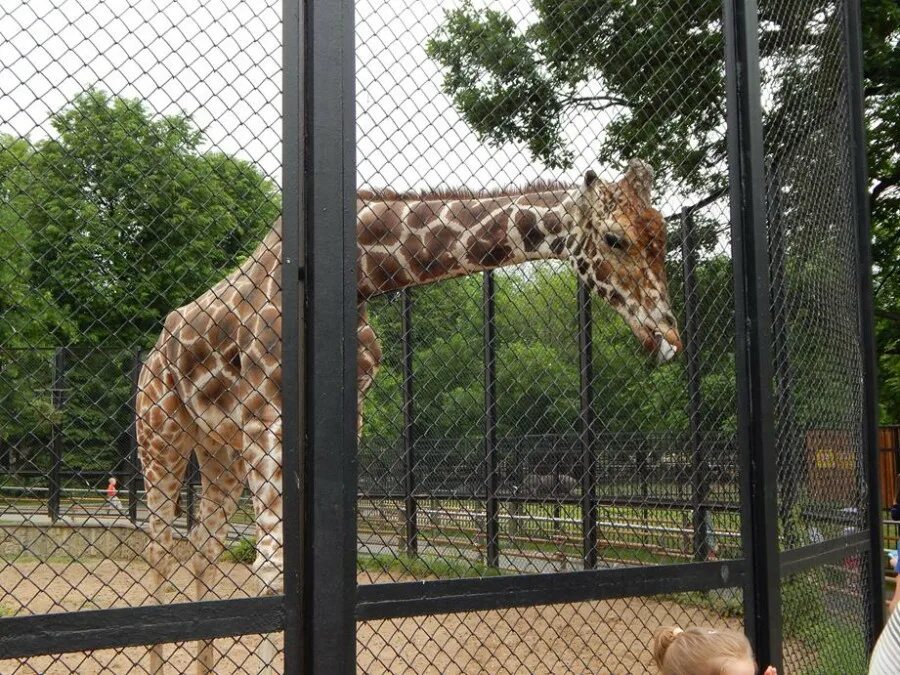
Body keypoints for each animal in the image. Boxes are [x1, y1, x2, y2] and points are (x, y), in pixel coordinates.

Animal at [135, 158, 684, 672]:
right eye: (615, 239)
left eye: (661, 236)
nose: (668, 339)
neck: (360, 276)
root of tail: (154, 352)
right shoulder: (264, 417)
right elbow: (272, 569)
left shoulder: (345, 416)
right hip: (161, 435)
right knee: (160, 545)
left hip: (218, 451)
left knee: (202, 546)